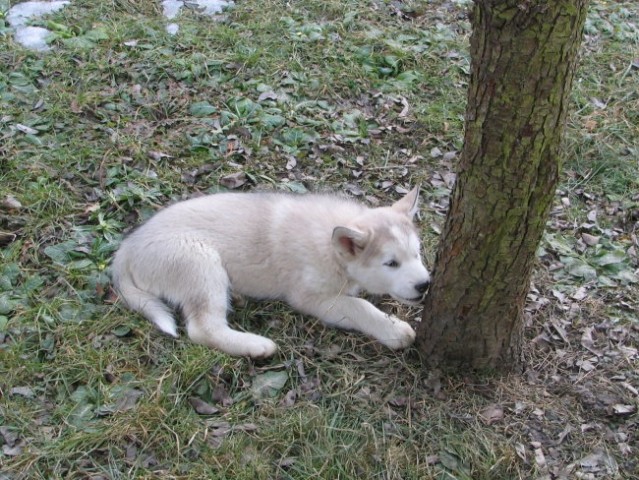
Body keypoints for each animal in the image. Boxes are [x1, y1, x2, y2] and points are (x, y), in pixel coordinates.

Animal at [111, 187, 430, 356]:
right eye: (391, 263)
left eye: (417, 253)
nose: (425, 284)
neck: (329, 247)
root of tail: (127, 247)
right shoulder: (311, 298)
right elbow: (359, 305)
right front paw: (393, 329)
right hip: (201, 263)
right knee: (203, 329)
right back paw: (256, 346)